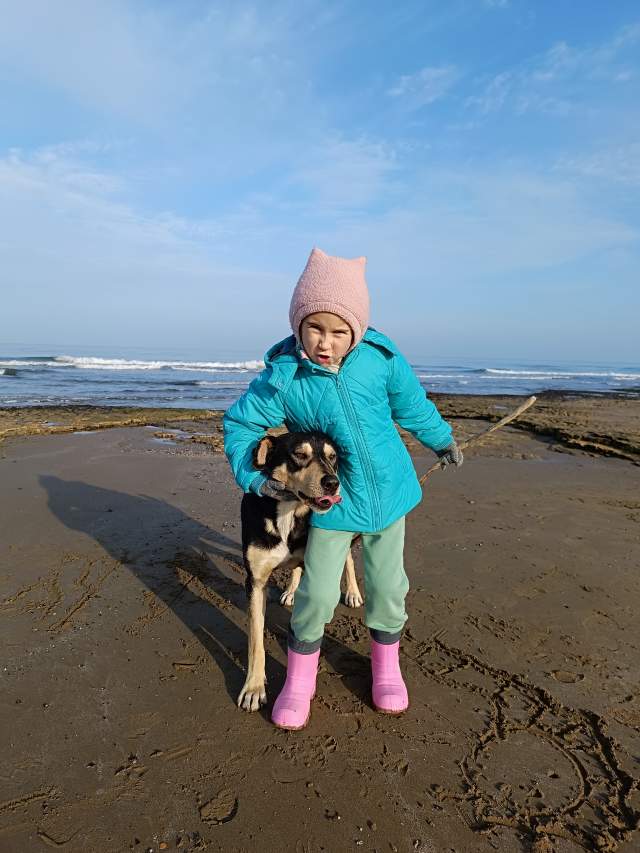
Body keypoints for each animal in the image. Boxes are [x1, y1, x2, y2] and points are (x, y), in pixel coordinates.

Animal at [237, 430, 363, 712]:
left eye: (332, 457)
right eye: (298, 454)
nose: (333, 483)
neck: (289, 511)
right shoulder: (256, 582)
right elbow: (255, 642)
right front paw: (253, 688)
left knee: (348, 557)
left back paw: (352, 592)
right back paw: (291, 591)